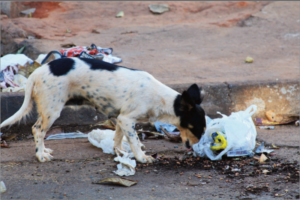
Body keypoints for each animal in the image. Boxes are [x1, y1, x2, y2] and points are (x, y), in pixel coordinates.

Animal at [0, 57, 206, 162]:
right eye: (196, 128)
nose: (195, 147)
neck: (160, 97)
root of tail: (37, 72)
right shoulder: (128, 119)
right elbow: (135, 140)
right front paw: (141, 157)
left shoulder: (120, 118)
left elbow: (118, 137)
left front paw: (119, 151)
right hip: (52, 110)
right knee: (37, 130)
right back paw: (40, 155)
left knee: (39, 131)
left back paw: (44, 150)